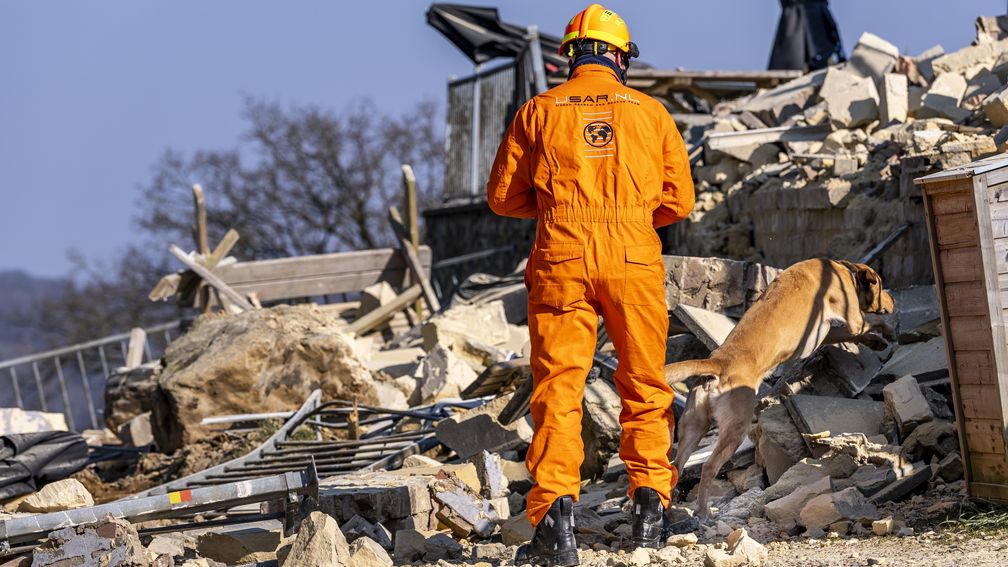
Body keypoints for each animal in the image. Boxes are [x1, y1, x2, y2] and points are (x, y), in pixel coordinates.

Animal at [665, 257, 895, 516]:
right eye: (882, 284)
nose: (894, 300)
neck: (844, 270)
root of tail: (718, 362)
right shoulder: (853, 319)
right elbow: (871, 321)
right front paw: (887, 332)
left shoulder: (827, 333)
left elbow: (853, 334)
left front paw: (876, 342)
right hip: (735, 429)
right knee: (709, 467)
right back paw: (703, 511)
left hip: (693, 427)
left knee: (676, 466)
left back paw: (670, 509)